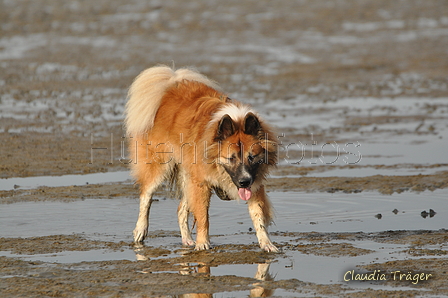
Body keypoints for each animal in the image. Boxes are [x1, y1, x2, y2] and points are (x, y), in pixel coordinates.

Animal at [124, 66, 278, 251]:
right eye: (231, 158)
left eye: (252, 157)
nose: (243, 182)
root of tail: (168, 88)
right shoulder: (202, 184)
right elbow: (203, 217)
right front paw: (203, 243)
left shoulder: (254, 184)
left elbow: (259, 216)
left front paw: (267, 244)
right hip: (160, 166)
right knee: (146, 196)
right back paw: (140, 231)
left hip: (188, 175)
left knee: (180, 210)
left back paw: (187, 240)